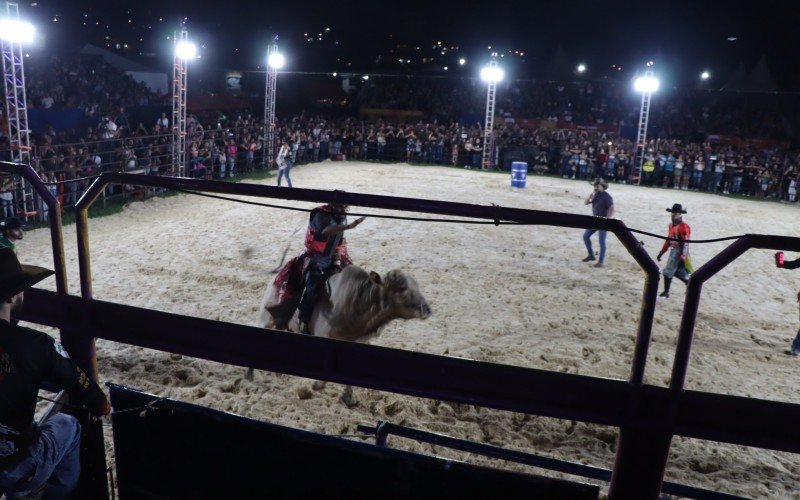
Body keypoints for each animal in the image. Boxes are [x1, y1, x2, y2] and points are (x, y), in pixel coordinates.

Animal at [247, 262, 432, 406]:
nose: (427, 309)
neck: (357, 304)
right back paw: (249, 375)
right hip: (266, 317)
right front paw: (316, 385)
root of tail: (278, 277)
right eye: (402, 287)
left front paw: (349, 397)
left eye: (416, 285)